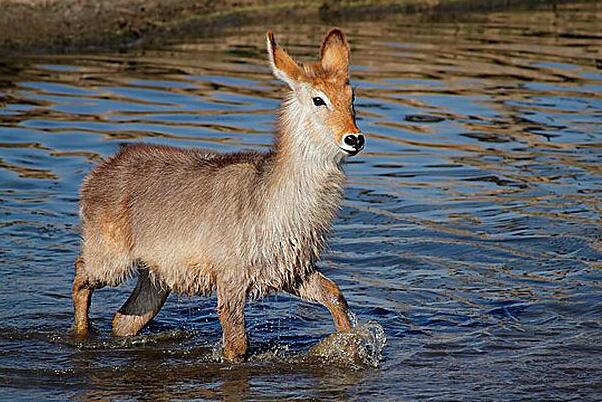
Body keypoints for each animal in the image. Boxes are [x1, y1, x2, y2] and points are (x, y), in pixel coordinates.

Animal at [74, 28, 366, 362]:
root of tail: (96, 175)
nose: (354, 139)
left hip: (157, 277)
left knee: (123, 319)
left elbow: (335, 295)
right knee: (80, 275)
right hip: (111, 260)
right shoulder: (231, 277)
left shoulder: (292, 270)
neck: (274, 200)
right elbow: (237, 344)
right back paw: (81, 333)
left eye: (352, 97)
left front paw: (350, 344)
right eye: (319, 99)